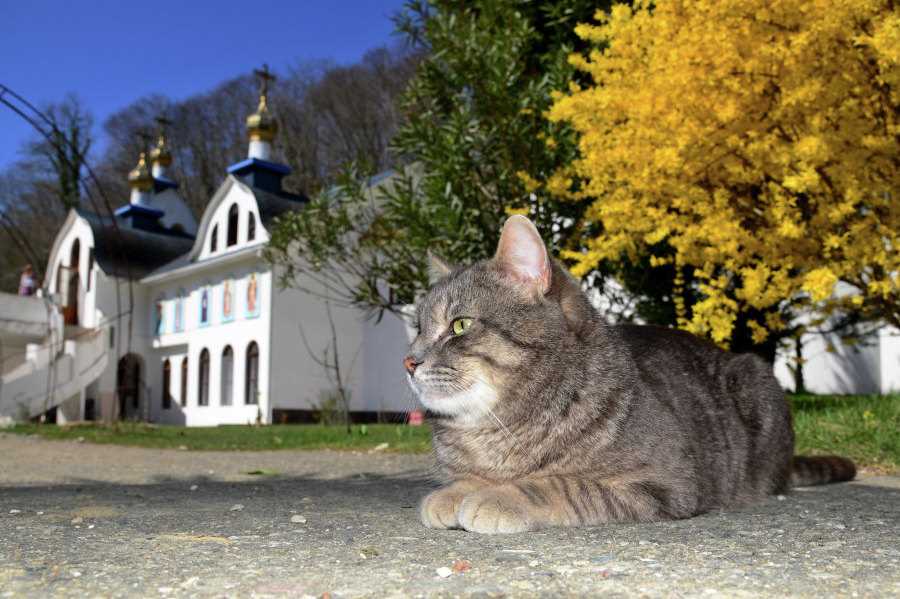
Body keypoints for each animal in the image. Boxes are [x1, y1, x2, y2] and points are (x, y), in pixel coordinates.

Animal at [404, 216, 856, 536]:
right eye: (418, 328)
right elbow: (469, 477)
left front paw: (498, 496)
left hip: (755, 378)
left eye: (460, 325)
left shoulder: (664, 482)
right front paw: (457, 490)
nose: (409, 361)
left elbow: (559, 483)